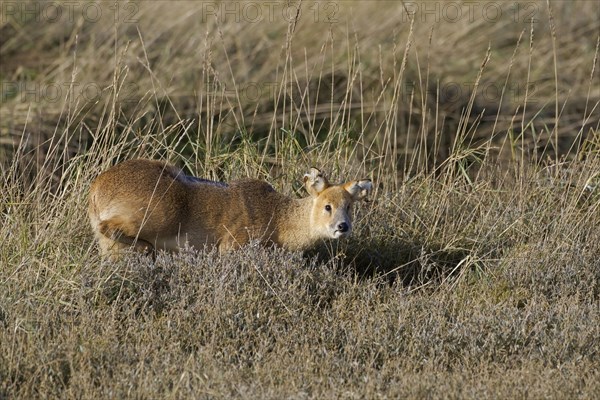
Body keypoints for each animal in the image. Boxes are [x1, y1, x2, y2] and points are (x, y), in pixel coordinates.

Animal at [88, 159, 370, 260]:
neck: (277, 217)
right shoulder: (232, 246)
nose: (343, 226)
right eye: (327, 205)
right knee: (110, 228)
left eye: (349, 206)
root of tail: (97, 188)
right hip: (157, 217)